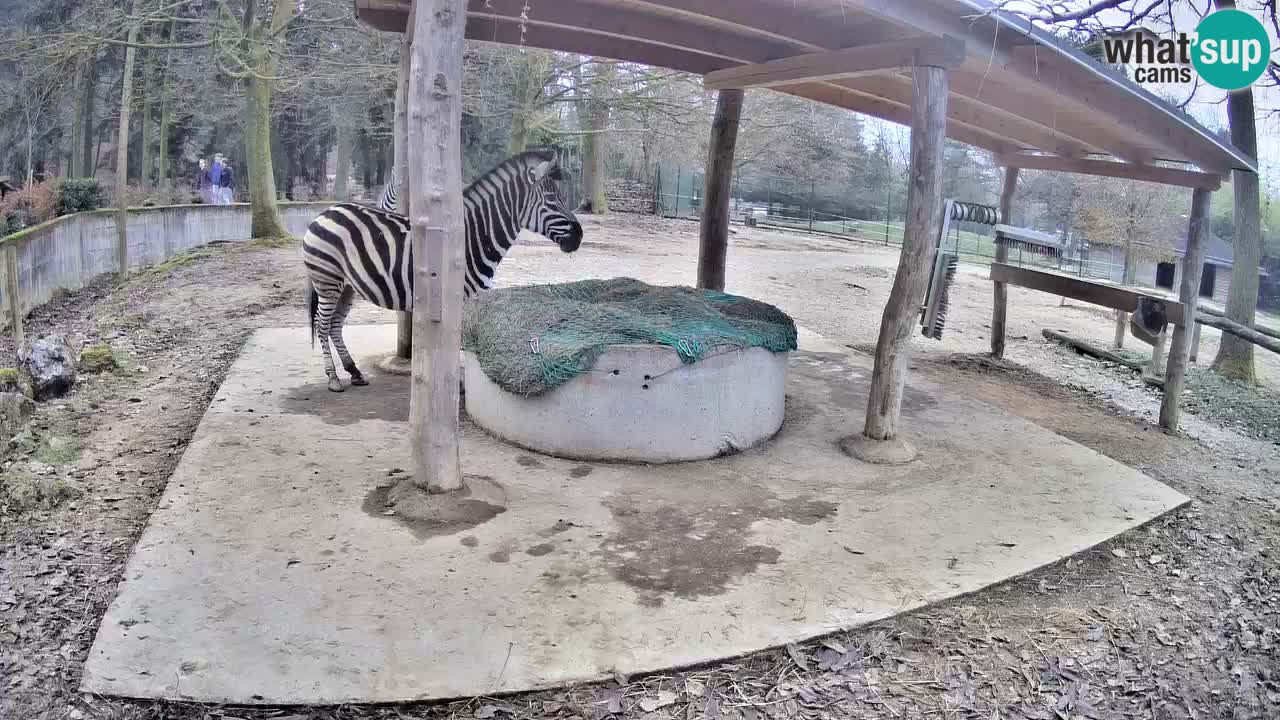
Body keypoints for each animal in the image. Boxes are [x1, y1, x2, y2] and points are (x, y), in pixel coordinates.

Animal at [303, 149, 583, 392]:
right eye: (552, 199)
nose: (579, 236)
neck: (473, 237)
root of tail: (325, 212)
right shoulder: (459, 297)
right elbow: (458, 344)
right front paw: (457, 385)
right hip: (327, 281)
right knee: (322, 325)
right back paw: (333, 378)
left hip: (347, 286)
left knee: (335, 325)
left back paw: (354, 372)